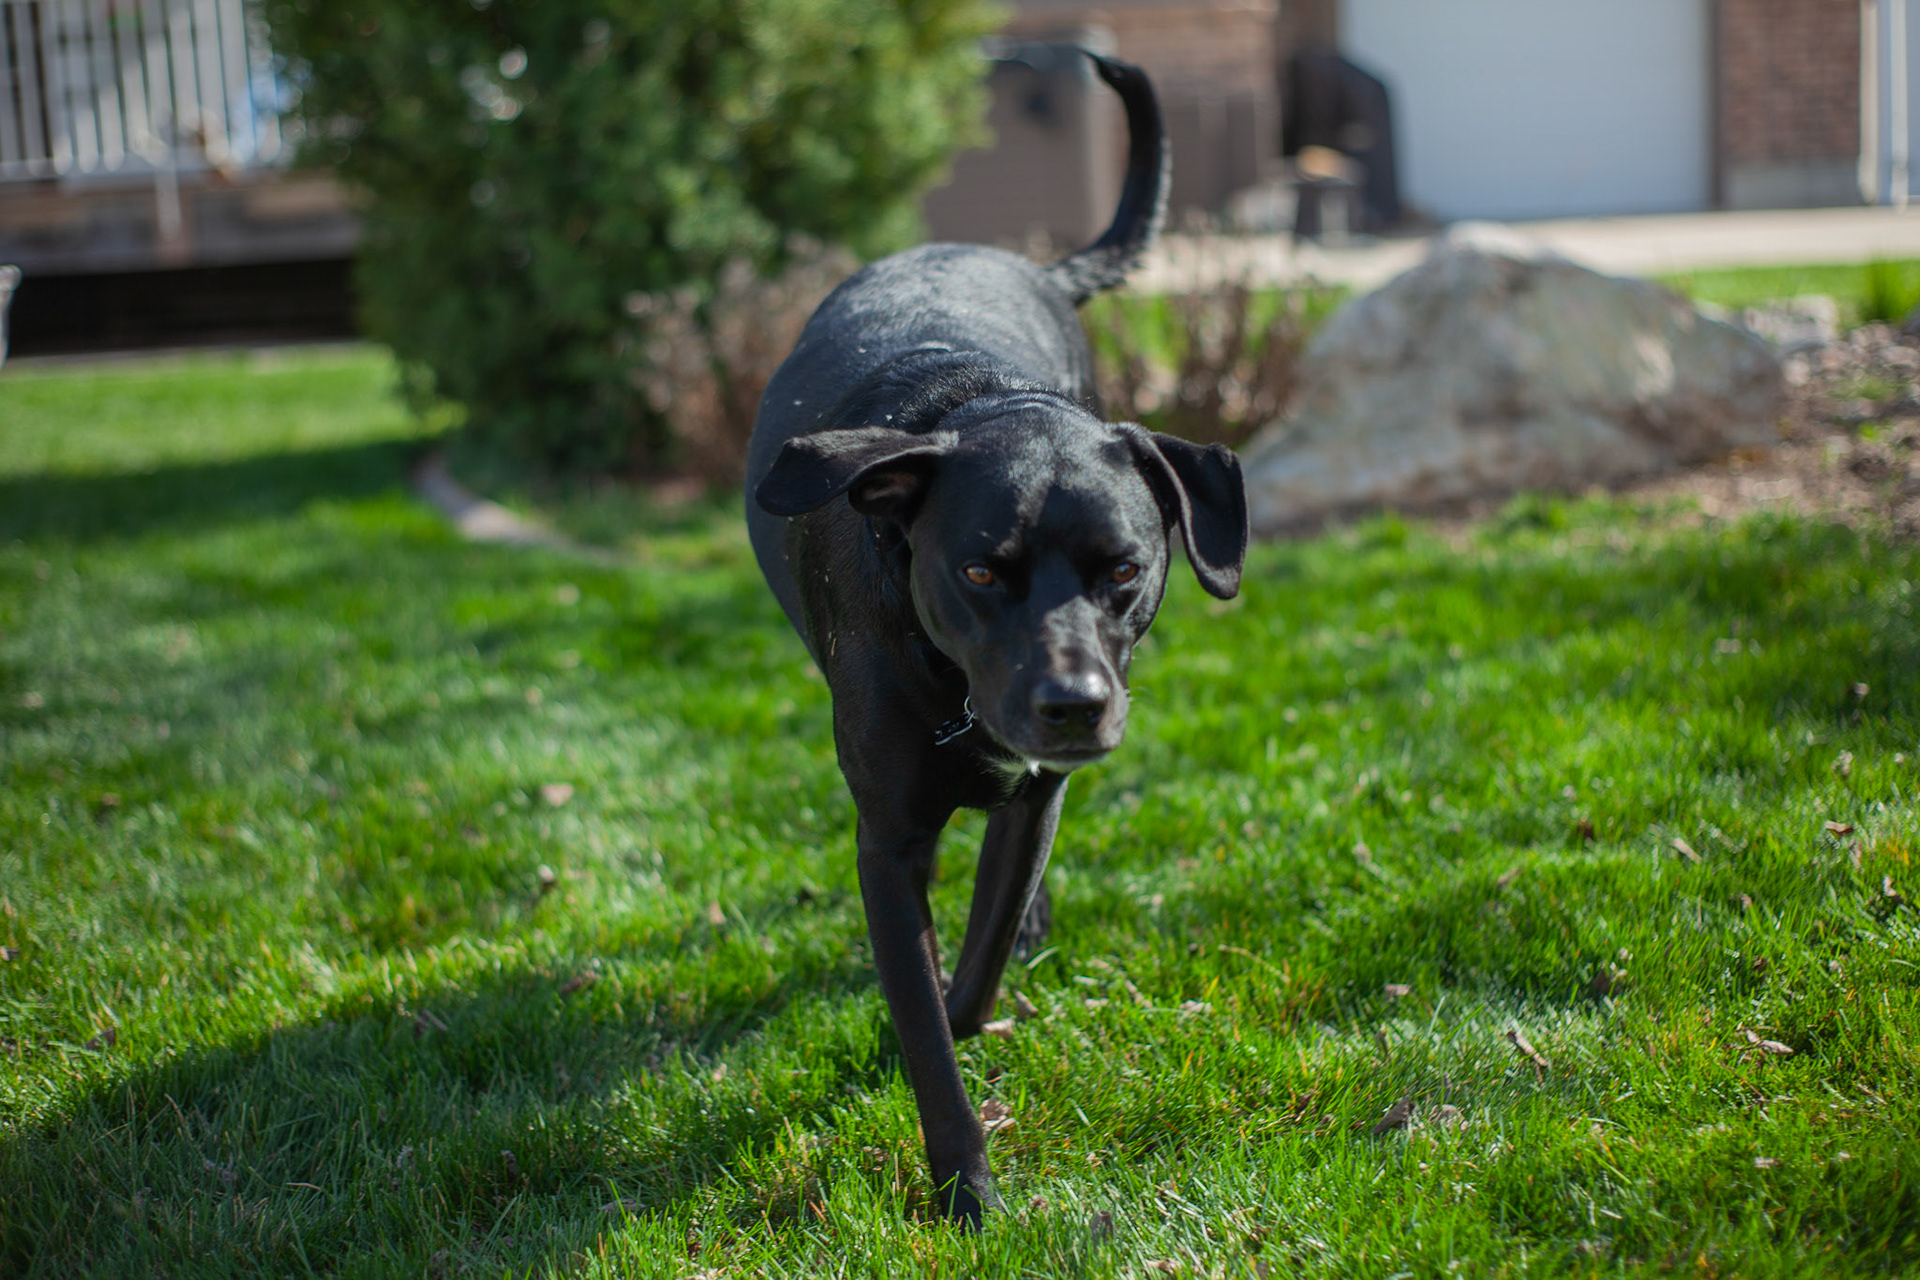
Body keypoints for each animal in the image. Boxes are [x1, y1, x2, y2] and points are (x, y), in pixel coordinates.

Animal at [744, 53, 1248, 1225]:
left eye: (1124, 569)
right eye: (979, 572)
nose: (1074, 705)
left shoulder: (1034, 797)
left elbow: (972, 970)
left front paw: (984, 978)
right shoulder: (887, 843)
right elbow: (928, 1025)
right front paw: (965, 1187)